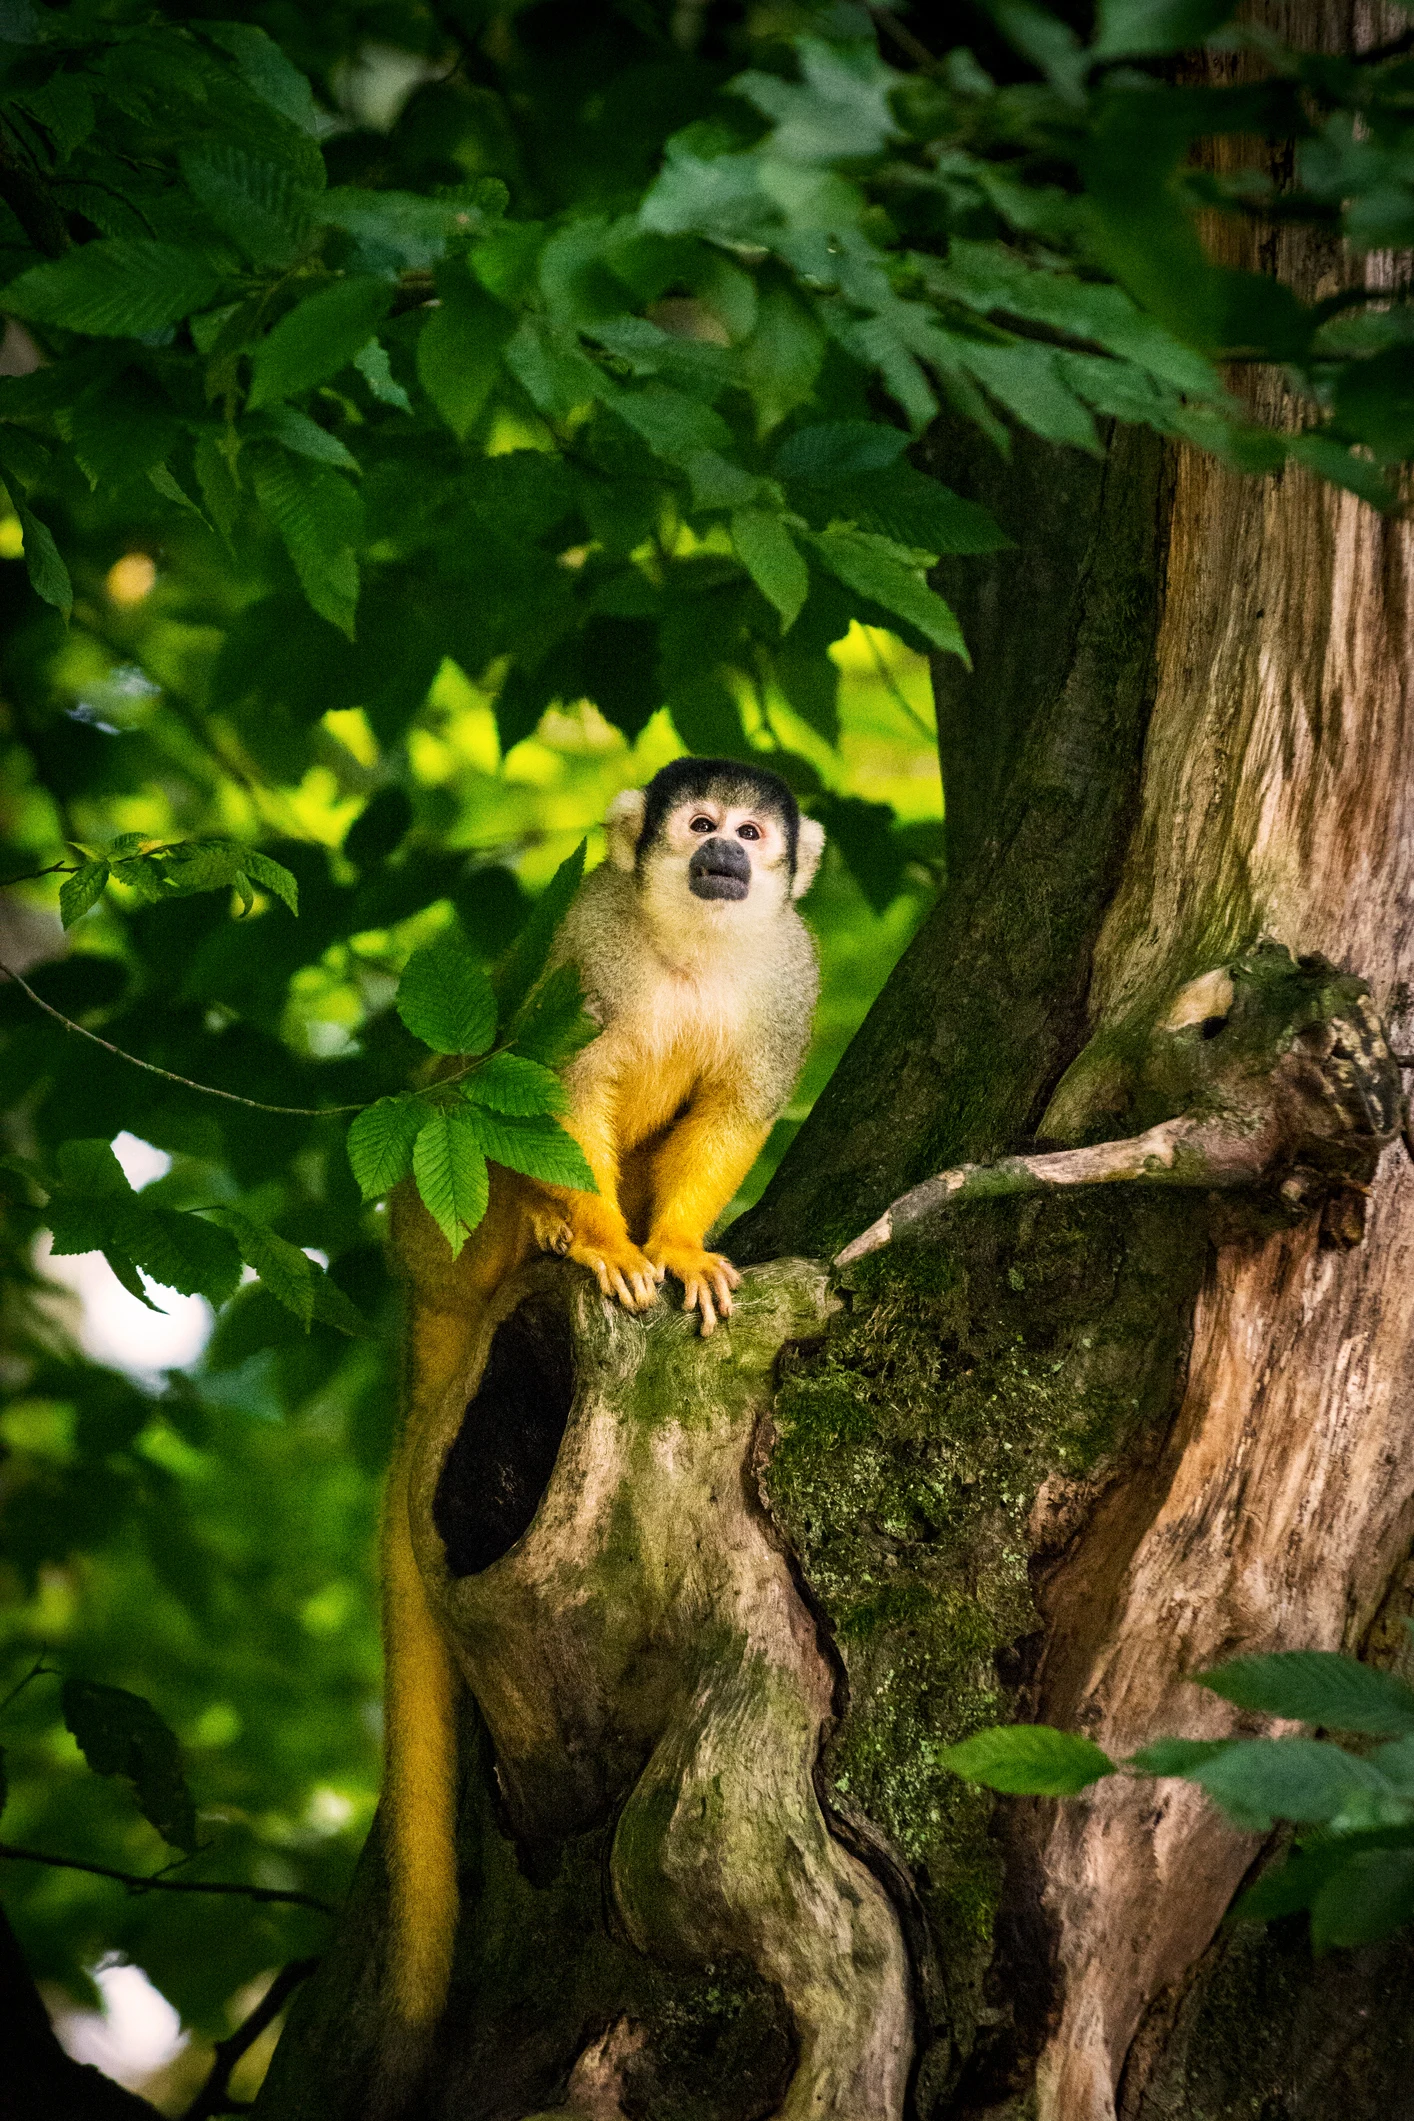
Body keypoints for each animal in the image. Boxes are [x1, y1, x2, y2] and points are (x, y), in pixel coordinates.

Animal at [378, 758, 825, 2076]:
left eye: (752, 834)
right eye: (700, 827)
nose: (725, 855)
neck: (691, 944)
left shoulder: (791, 979)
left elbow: (731, 1112)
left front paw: (675, 1248)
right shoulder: (587, 949)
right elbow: (547, 1089)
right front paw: (605, 1247)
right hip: (432, 1221)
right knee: (474, 1105)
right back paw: (545, 1238)